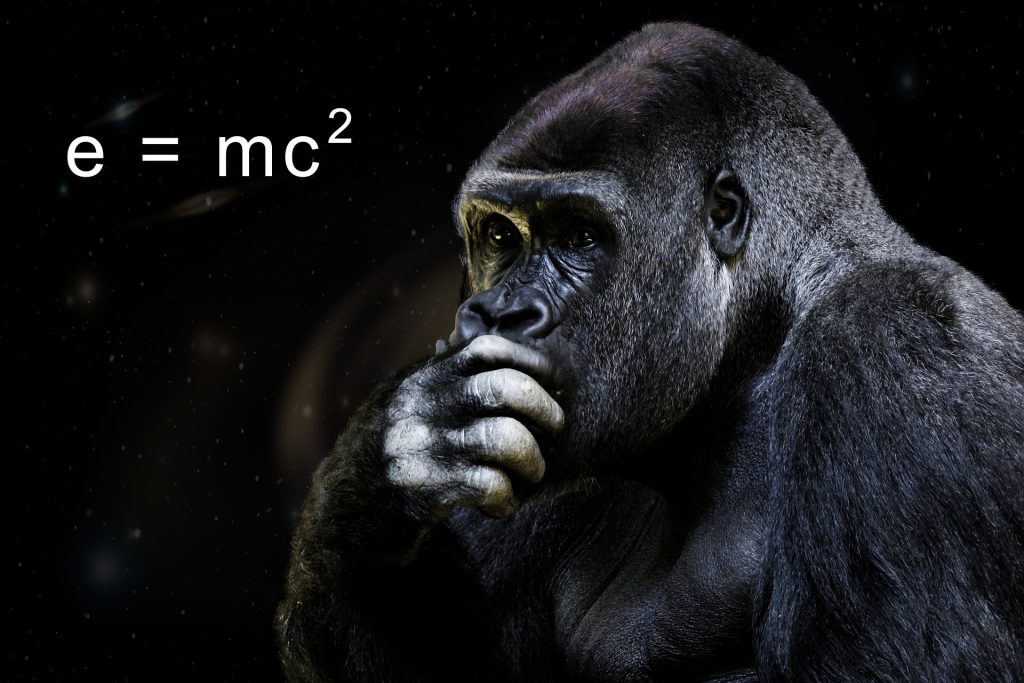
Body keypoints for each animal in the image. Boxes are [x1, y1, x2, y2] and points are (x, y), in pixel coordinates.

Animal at [276, 22, 1024, 681]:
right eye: (499, 237)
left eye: (580, 236)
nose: (496, 313)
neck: (760, 338)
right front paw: (378, 481)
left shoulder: (895, 344)